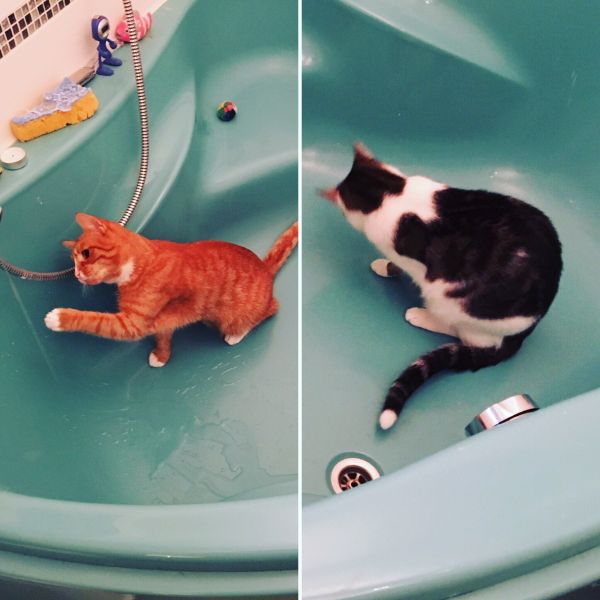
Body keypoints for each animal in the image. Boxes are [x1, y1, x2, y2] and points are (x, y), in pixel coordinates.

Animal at [45, 213, 298, 366]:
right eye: (74, 262)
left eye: (86, 254)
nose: (77, 275)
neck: (141, 262)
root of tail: (264, 267)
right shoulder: (160, 321)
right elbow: (163, 335)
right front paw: (161, 355)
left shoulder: (132, 324)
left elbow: (94, 320)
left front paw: (59, 317)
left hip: (235, 317)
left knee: (271, 309)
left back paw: (237, 334)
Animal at [321, 143, 562, 431]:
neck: (391, 192)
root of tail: (521, 336)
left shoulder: (413, 262)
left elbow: (397, 263)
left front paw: (384, 266)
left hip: (450, 300)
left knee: (461, 334)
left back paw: (422, 316)